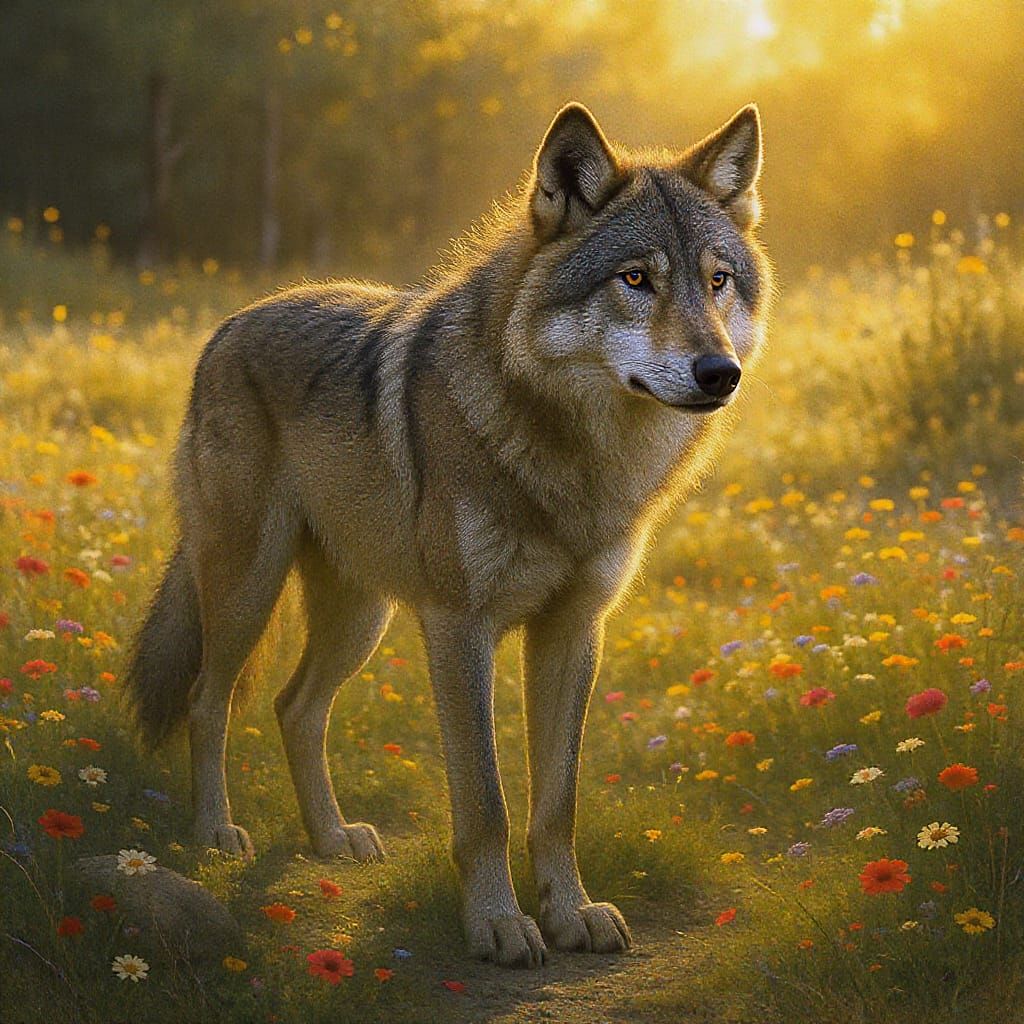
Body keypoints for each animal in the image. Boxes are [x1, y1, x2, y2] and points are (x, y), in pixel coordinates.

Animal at [125, 101, 771, 968]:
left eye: (717, 280)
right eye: (635, 279)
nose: (719, 372)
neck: (577, 462)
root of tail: (230, 324)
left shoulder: (573, 630)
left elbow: (556, 804)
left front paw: (572, 913)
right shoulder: (460, 629)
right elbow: (487, 806)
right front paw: (498, 926)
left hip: (361, 618)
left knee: (296, 707)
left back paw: (332, 838)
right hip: (248, 592)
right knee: (209, 698)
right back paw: (215, 834)